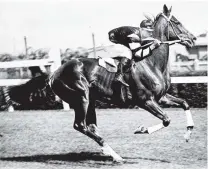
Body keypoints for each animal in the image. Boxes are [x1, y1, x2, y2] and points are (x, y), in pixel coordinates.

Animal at [48, 4, 196, 161]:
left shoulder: (161, 97)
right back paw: (115, 155)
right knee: (80, 125)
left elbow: (184, 103)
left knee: (91, 126)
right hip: (81, 97)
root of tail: (54, 74)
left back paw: (107, 151)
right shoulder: (145, 100)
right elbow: (166, 120)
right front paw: (141, 129)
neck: (152, 63)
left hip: (90, 100)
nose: (193, 38)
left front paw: (188, 132)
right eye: (177, 22)